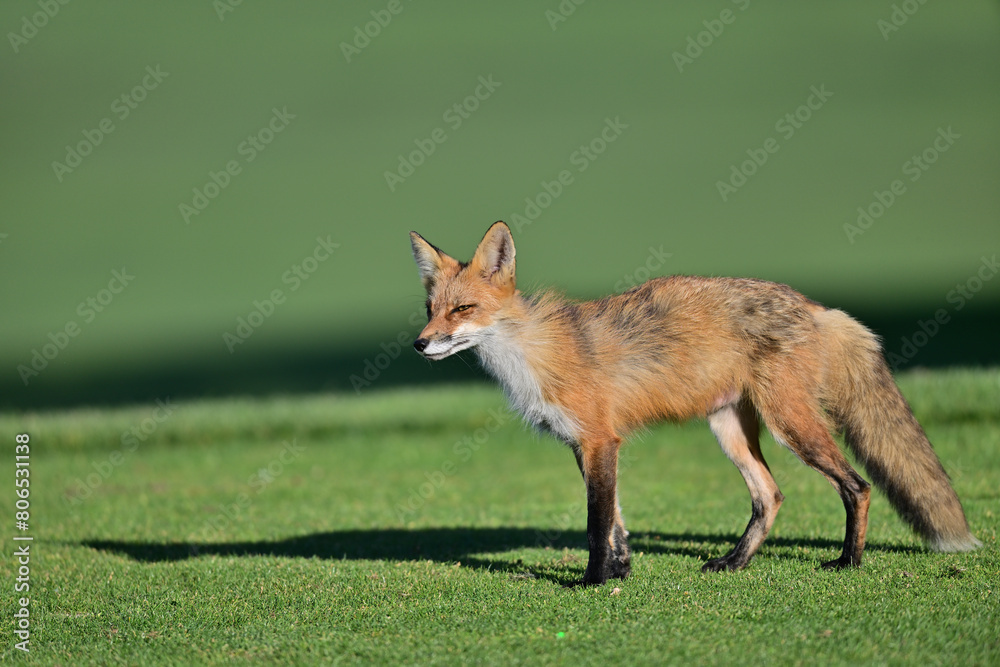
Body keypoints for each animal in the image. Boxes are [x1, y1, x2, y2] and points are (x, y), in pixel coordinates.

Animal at [409, 221, 980, 586]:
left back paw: (848, 562)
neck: (531, 354)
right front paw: (621, 572)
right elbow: (617, 522)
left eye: (463, 309)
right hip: (729, 429)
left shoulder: (599, 440)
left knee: (857, 487)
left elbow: (596, 523)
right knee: (770, 497)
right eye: (430, 309)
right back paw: (734, 563)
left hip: (791, 425)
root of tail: (816, 307)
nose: (419, 344)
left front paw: (591, 582)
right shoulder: (584, 445)